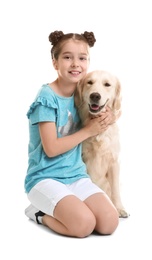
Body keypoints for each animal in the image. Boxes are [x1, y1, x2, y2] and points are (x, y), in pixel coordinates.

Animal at [74, 69, 128, 217]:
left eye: (107, 84)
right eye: (89, 82)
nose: (95, 96)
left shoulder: (114, 161)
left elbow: (115, 189)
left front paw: (119, 208)